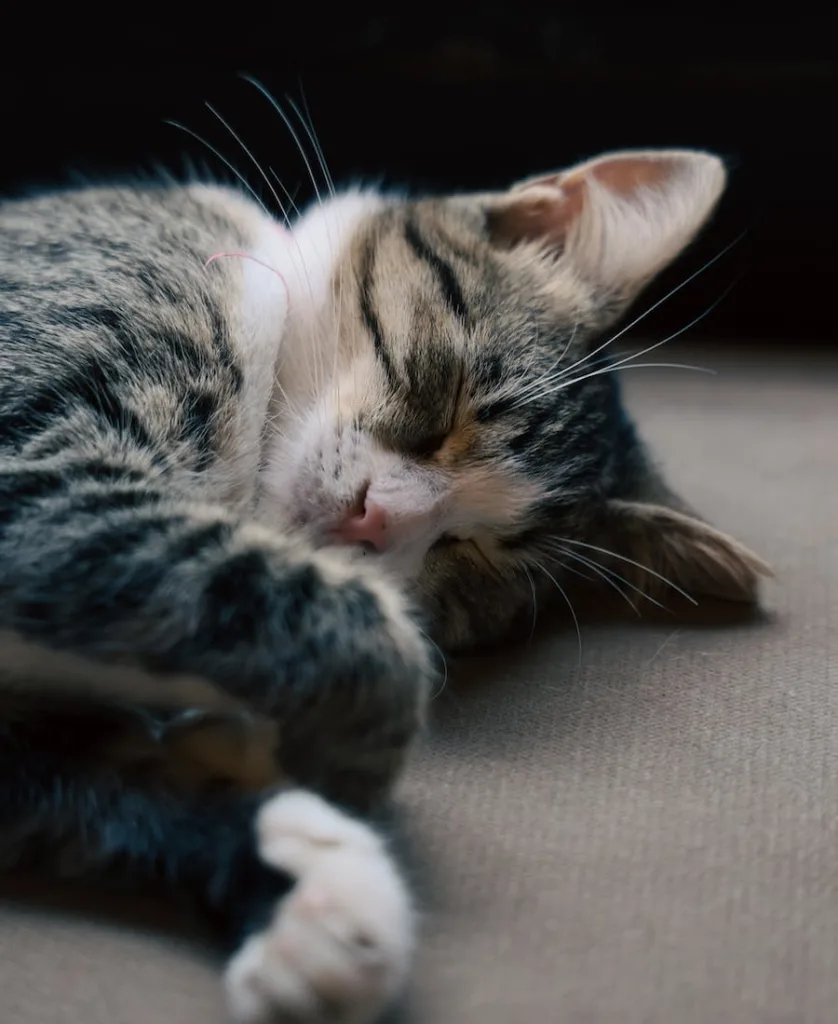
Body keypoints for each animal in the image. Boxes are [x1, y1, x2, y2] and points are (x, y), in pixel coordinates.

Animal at [0, 146, 766, 1024]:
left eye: (472, 558)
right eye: (453, 399)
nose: (377, 518)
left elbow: (84, 783)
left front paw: (310, 896)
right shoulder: (38, 458)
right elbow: (350, 624)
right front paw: (346, 768)